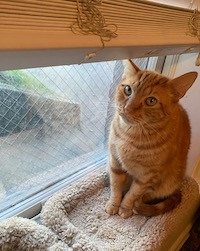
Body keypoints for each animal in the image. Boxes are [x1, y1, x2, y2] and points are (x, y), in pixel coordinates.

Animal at [105, 59, 198, 218]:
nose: (127, 108)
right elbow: (116, 187)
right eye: (128, 90)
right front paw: (114, 204)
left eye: (151, 101)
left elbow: (132, 194)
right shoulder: (115, 162)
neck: (130, 135)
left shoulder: (146, 178)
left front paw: (125, 208)